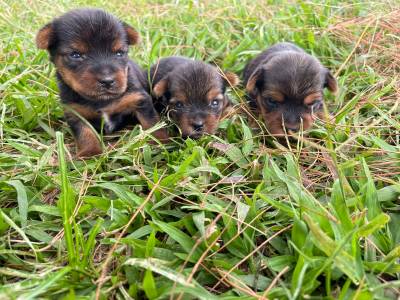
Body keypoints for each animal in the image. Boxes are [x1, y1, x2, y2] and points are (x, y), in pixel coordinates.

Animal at [36, 8, 168, 157]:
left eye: (119, 53)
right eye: (75, 55)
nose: (107, 81)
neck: (102, 100)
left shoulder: (139, 99)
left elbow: (152, 123)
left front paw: (161, 142)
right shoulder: (75, 112)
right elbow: (85, 134)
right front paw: (90, 154)